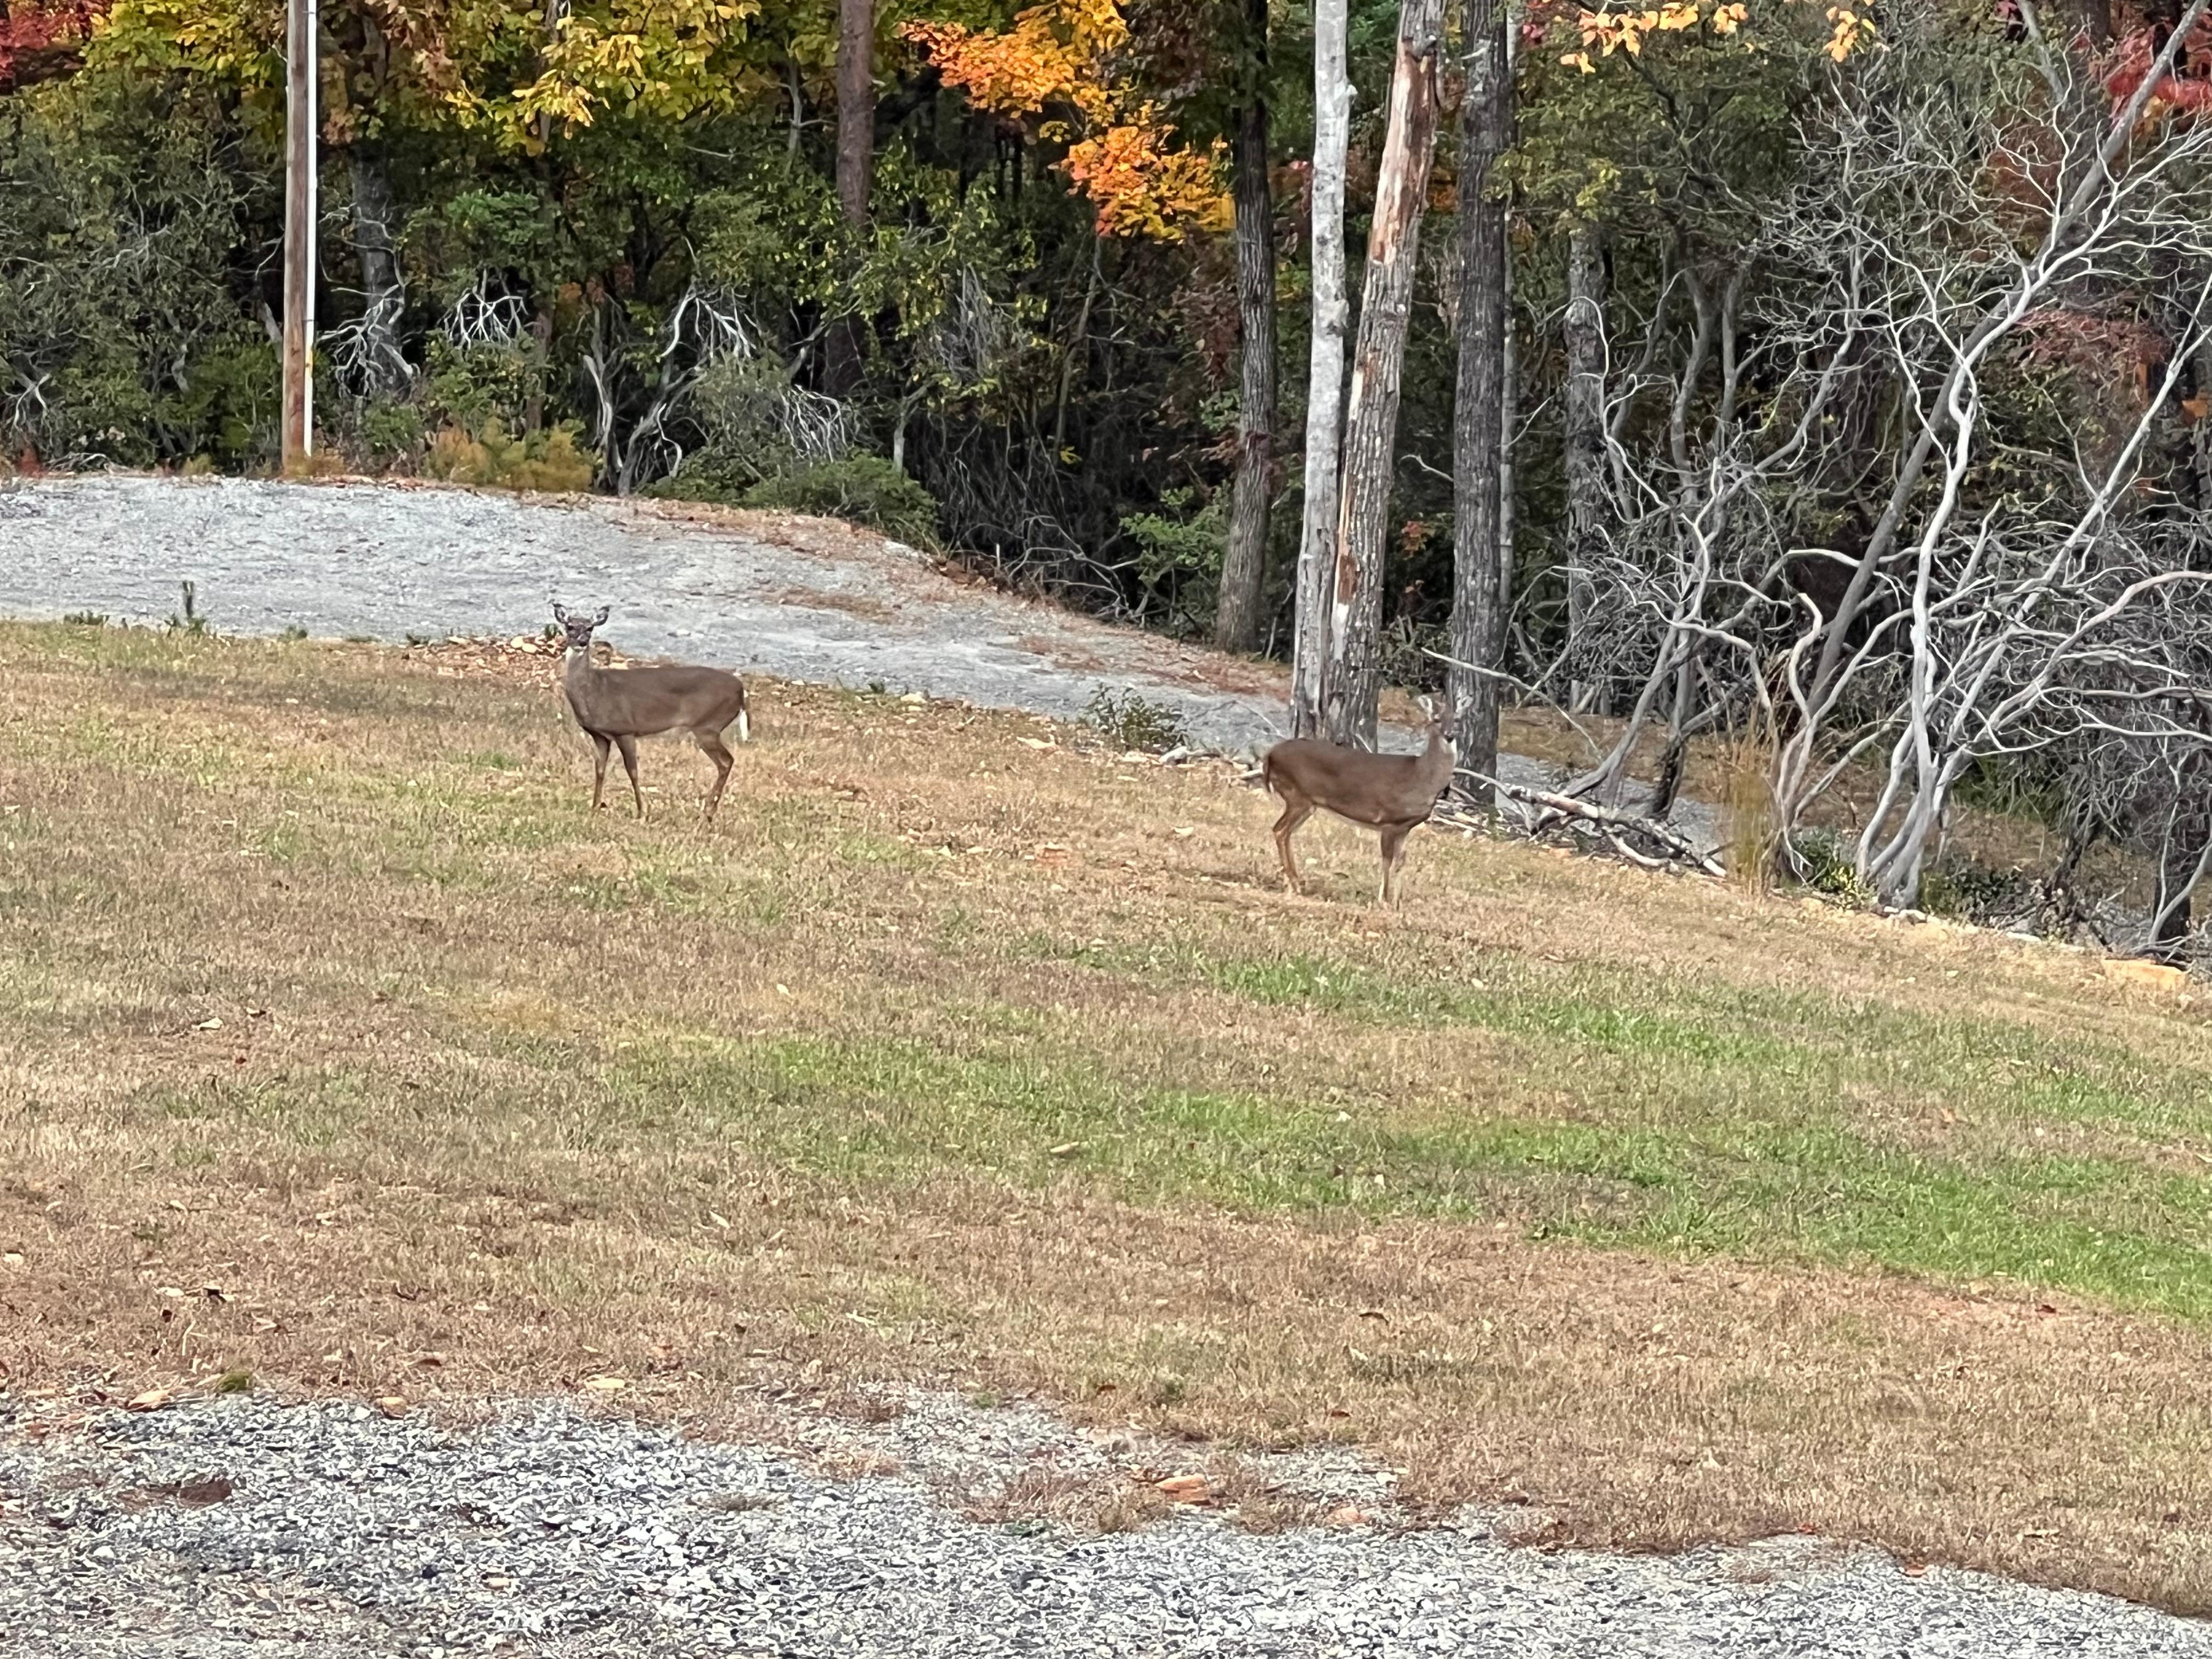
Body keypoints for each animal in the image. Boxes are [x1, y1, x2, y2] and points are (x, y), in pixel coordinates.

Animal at [551, 603, 751, 821]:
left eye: (590, 628)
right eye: (570, 626)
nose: (582, 642)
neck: (594, 689)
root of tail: (741, 692)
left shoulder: (625, 730)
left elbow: (633, 771)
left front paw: (641, 811)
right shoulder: (600, 735)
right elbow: (600, 769)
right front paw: (595, 807)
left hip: (708, 725)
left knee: (726, 761)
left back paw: (709, 809)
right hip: (709, 727)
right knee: (726, 761)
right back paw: (709, 809)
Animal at [1259, 699, 1458, 904]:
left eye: (1457, 719)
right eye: (1436, 719)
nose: (1450, 736)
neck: (1421, 777)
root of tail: (1270, 754)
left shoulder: (1404, 828)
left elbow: (1401, 861)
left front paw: (1397, 902)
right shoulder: (1389, 820)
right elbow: (1387, 860)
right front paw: (1383, 900)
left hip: (1307, 803)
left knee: (1286, 832)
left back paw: (1295, 882)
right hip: (1297, 796)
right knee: (1280, 830)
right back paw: (1294, 883)